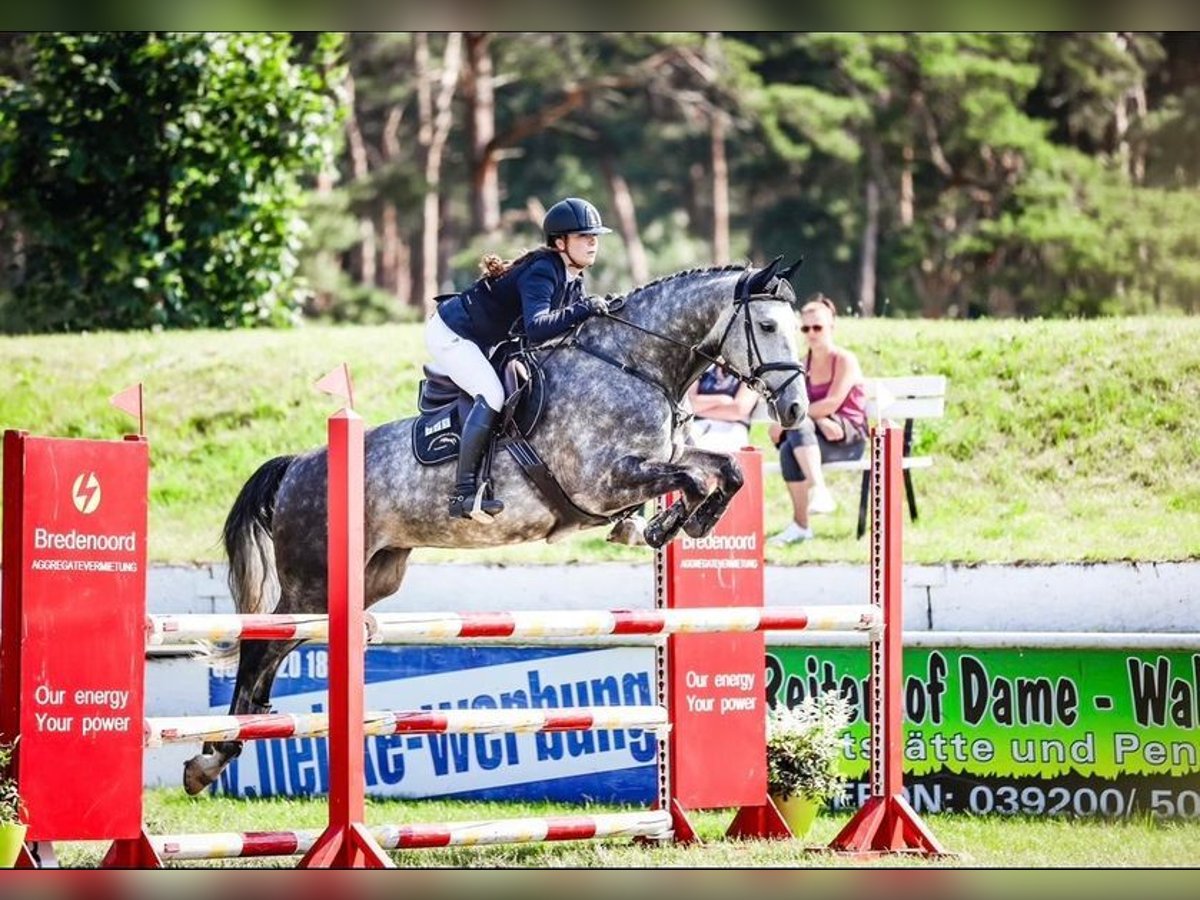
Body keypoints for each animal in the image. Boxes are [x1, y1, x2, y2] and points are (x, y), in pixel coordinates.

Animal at [184, 259, 806, 796]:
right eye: (768, 326)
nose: (797, 411)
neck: (635, 364)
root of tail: (298, 465)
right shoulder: (604, 481)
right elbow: (693, 477)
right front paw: (662, 525)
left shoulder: (659, 462)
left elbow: (724, 470)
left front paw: (683, 524)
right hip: (312, 579)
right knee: (261, 644)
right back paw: (212, 755)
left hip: (368, 577)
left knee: (277, 646)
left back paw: (231, 744)